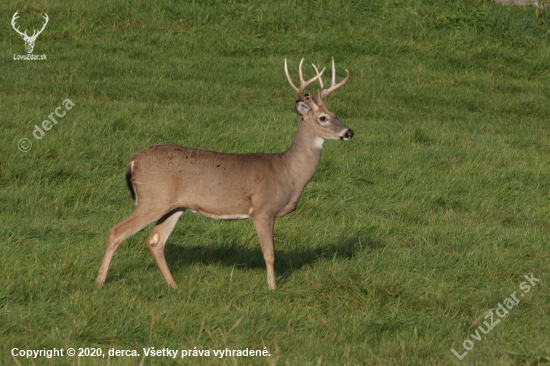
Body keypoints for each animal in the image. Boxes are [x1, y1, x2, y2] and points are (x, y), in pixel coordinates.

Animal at [97, 58, 356, 288]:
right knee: (117, 231)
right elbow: (270, 253)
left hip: (174, 206)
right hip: (153, 199)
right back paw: (100, 281)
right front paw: (272, 288)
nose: (349, 132)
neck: (287, 172)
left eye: (336, 114)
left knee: (155, 240)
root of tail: (133, 161)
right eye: (322, 118)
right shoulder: (263, 209)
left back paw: (174, 285)